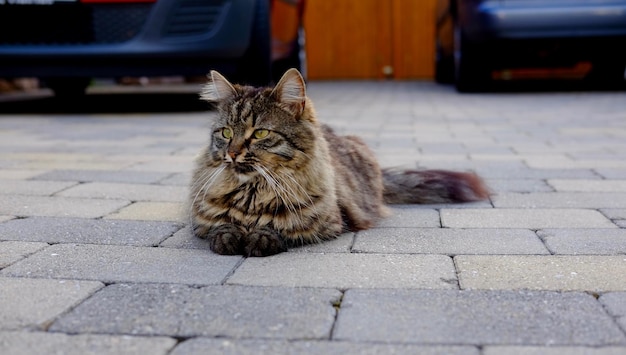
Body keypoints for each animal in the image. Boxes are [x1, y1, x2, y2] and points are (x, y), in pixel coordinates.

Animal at [188, 69, 490, 258]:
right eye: (226, 133)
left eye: (260, 133)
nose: (232, 154)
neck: (254, 192)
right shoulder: (203, 221)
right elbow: (221, 225)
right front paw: (229, 236)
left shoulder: (331, 222)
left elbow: (279, 227)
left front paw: (261, 236)